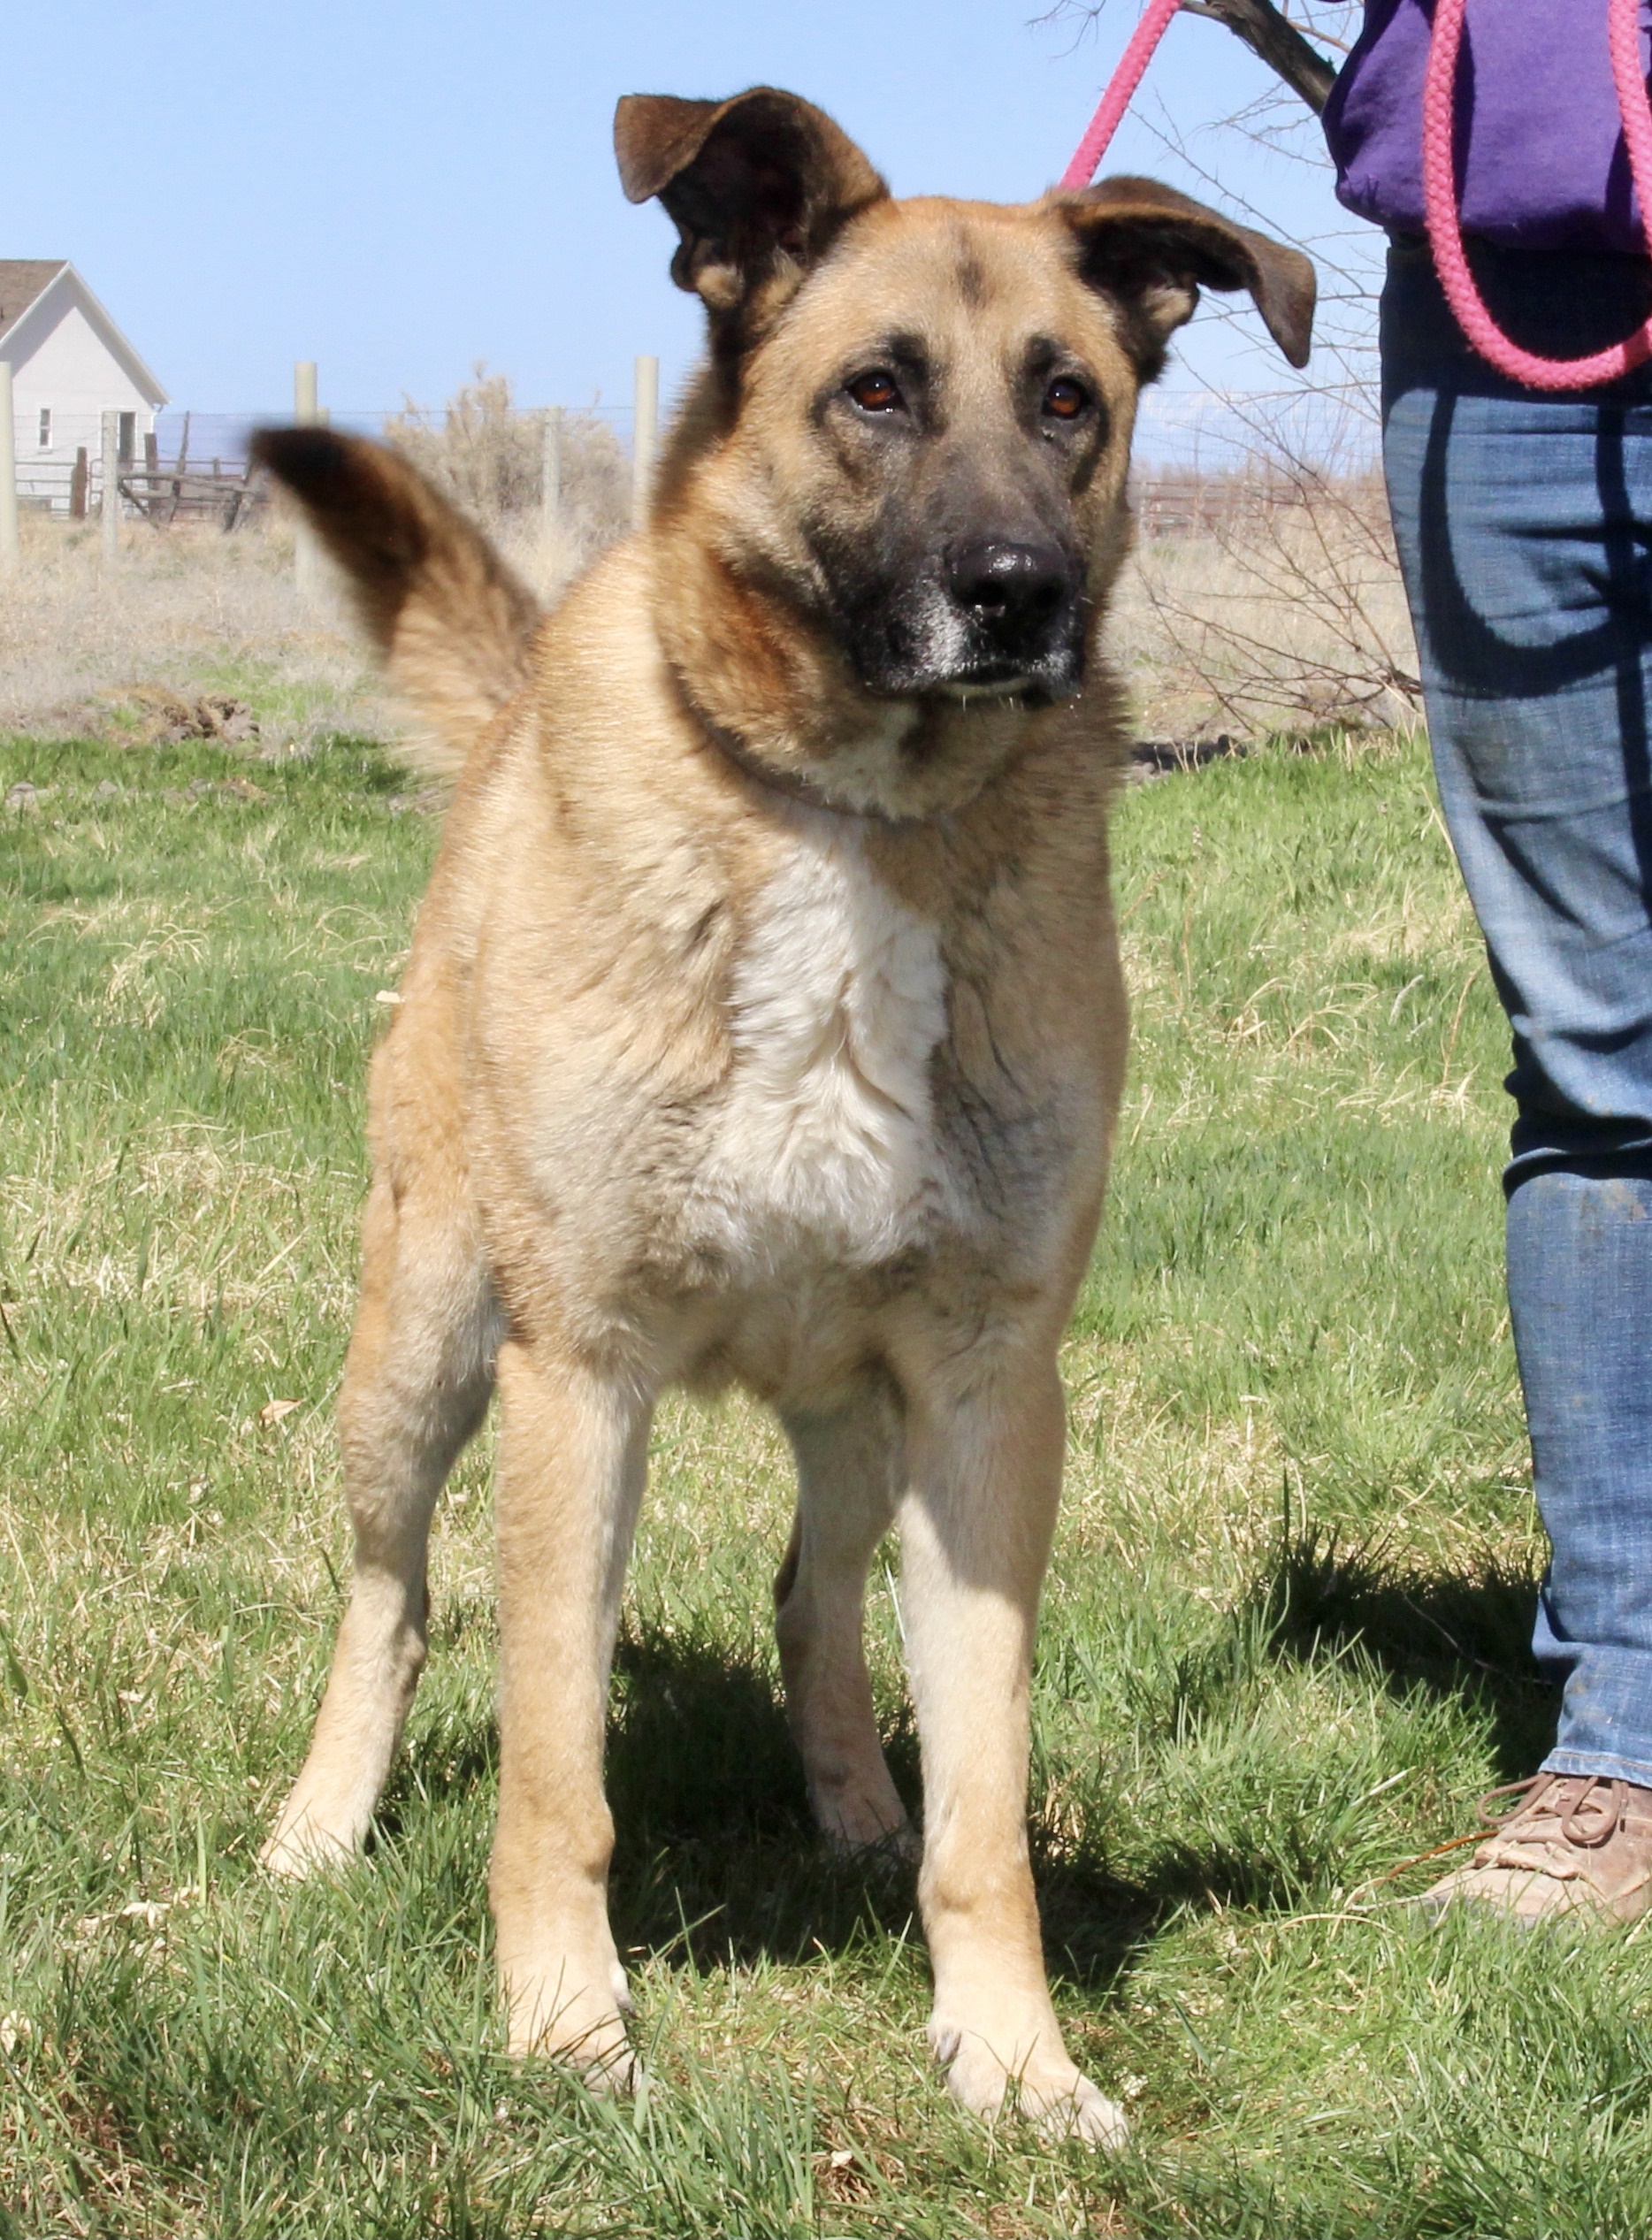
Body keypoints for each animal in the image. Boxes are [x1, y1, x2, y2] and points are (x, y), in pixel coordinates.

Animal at [254, 87, 1318, 2141]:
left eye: (1068, 400)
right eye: (876, 391)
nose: (1017, 598)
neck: (855, 813)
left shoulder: (988, 1396)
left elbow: (989, 1803)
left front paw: (1011, 2049)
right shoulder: (576, 1374)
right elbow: (554, 1771)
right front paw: (564, 2020)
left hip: (859, 1417)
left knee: (808, 1602)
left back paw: (849, 1803)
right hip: (417, 1352)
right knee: (389, 1601)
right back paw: (322, 1825)